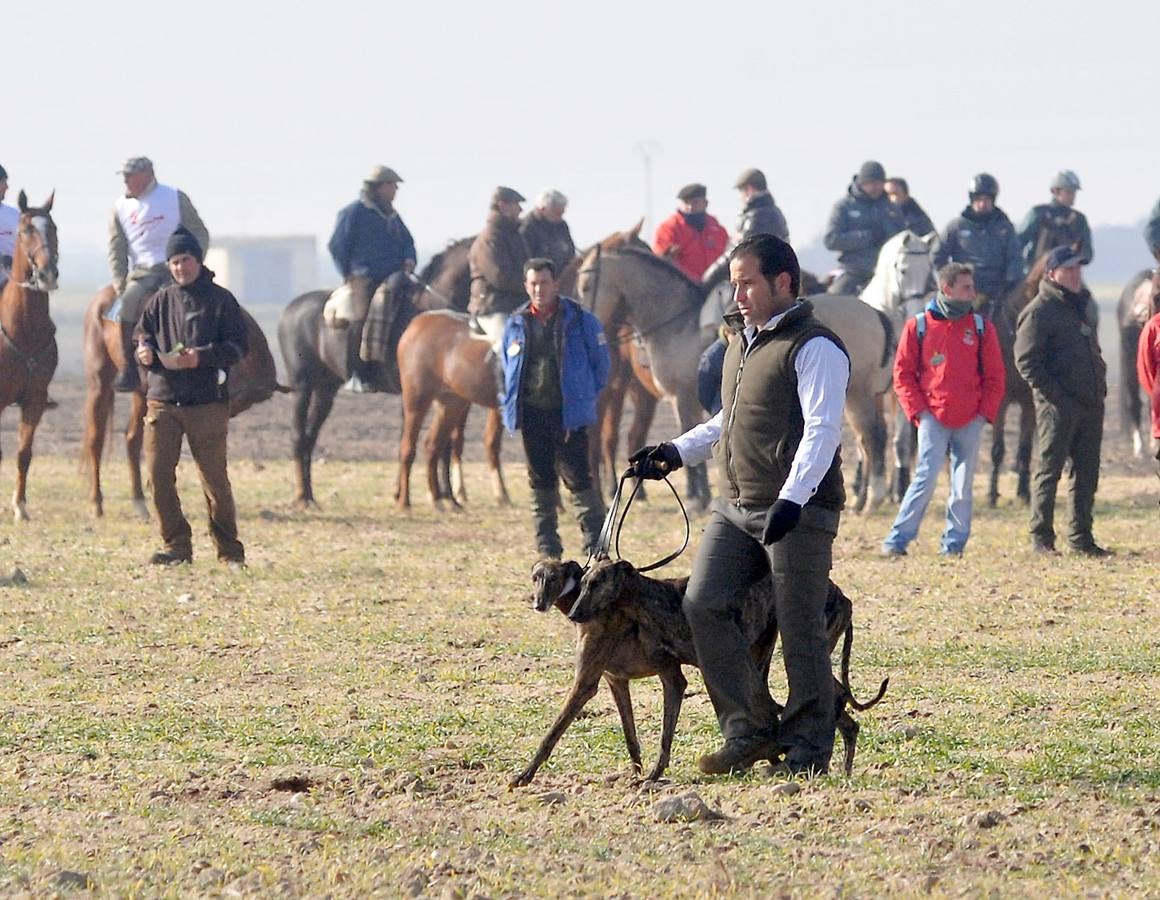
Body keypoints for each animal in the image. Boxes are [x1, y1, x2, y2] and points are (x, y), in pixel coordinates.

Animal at [81, 285, 280, 517]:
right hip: (100, 383)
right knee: (96, 439)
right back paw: (96, 503)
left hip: (139, 395)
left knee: (132, 439)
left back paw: (140, 504)